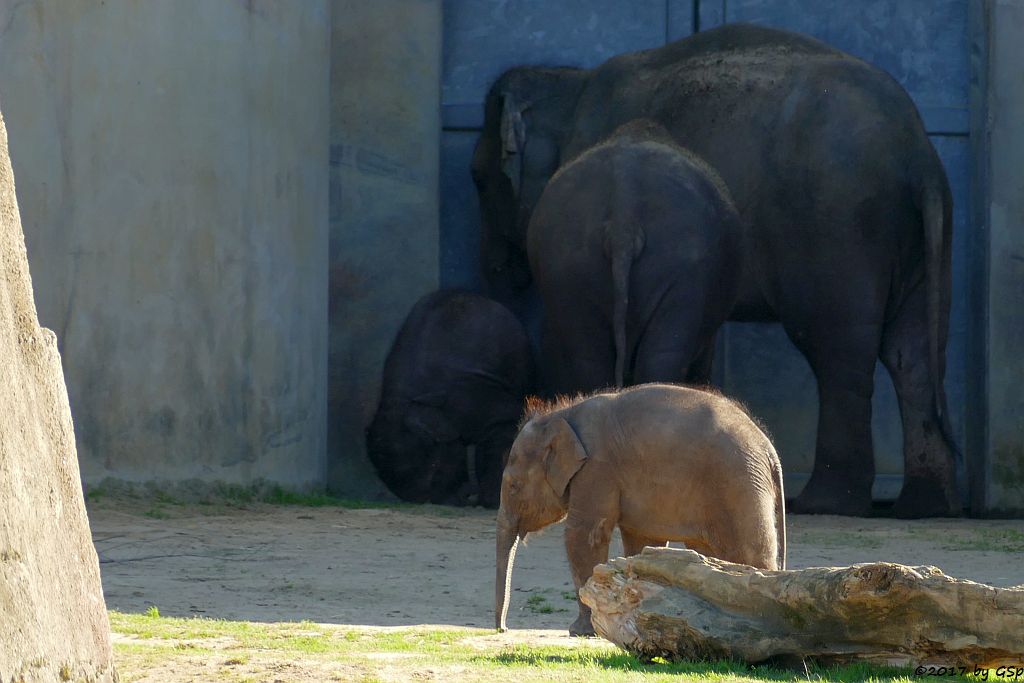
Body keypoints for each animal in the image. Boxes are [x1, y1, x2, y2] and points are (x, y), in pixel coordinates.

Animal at [364, 288, 536, 507]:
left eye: (433, 471)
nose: (467, 497)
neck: (404, 401)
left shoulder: (478, 395)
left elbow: (499, 430)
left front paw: (491, 501)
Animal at [493, 385, 782, 634]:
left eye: (514, 486)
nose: (502, 629)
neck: (561, 416)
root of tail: (769, 449)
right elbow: (642, 541)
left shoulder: (597, 470)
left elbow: (583, 535)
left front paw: (581, 631)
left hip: (740, 484)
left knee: (752, 551)